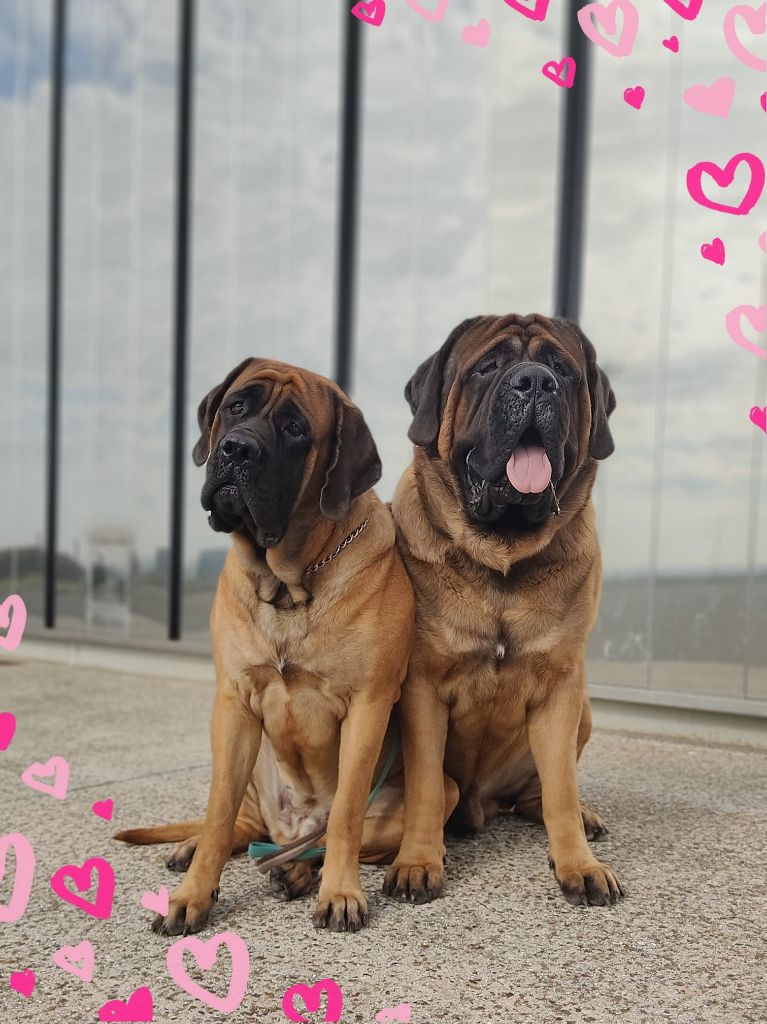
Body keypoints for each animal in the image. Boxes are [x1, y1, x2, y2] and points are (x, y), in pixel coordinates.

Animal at [114, 360, 419, 937]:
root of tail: (293, 824)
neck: (290, 583)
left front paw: (341, 894)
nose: (237, 449)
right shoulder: (234, 703)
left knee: (315, 842)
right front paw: (193, 894)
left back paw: (298, 873)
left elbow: (346, 815)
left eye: (296, 429)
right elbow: (217, 812)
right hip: (255, 766)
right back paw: (198, 849)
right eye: (236, 407)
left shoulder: (368, 705)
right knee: (246, 826)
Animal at [382, 315, 622, 909]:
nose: (535, 382)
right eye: (487, 367)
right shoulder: (422, 688)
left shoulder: (561, 687)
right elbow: (425, 784)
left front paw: (579, 864)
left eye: (563, 369)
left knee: (542, 792)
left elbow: (561, 787)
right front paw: (417, 862)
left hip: (583, 710)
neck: (502, 558)